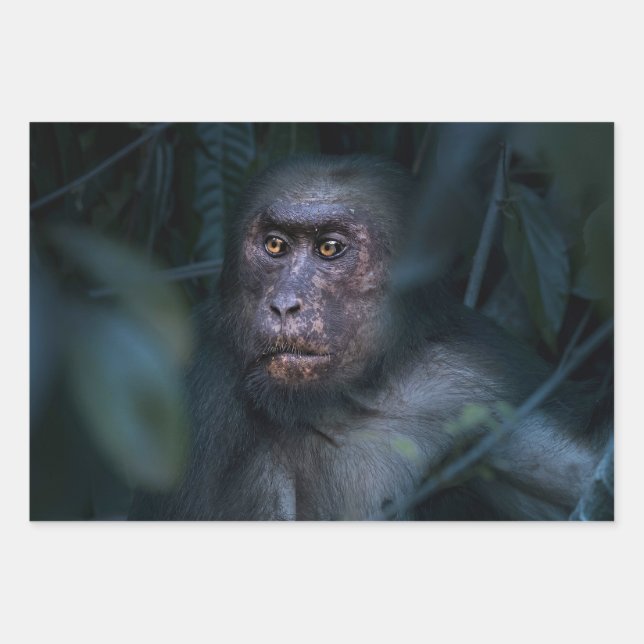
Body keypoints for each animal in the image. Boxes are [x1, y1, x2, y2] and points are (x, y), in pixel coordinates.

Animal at [129, 155, 610, 521]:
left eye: (329, 248)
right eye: (275, 246)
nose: (284, 304)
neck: (347, 399)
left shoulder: (482, 379)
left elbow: (574, 472)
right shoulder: (200, 386)